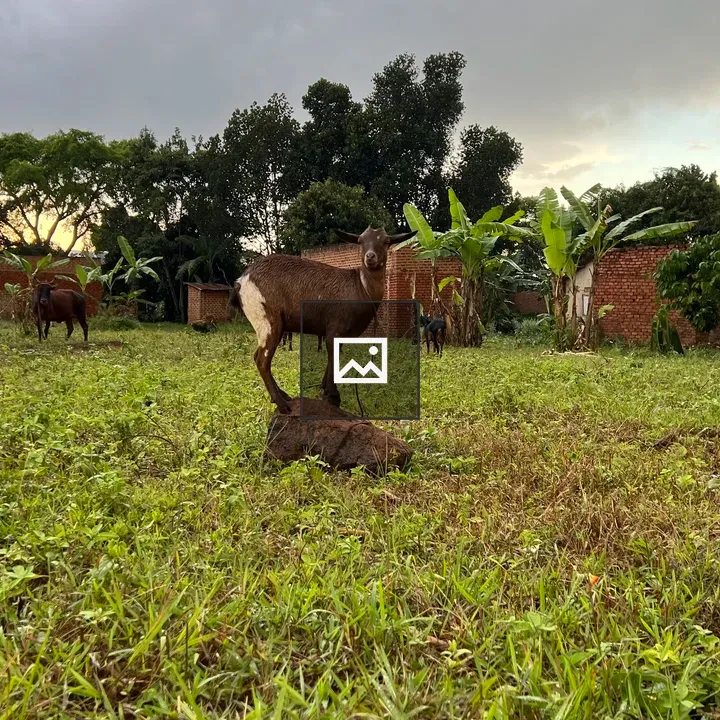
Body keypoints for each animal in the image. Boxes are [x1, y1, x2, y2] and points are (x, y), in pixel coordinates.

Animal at [230, 226, 416, 414]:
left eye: (386, 241)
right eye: (360, 241)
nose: (370, 257)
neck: (361, 287)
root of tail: (241, 281)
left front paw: (326, 392)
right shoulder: (335, 328)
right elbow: (333, 357)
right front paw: (333, 397)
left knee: (258, 356)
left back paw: (283, 396)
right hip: (267, 319)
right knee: (262, 359)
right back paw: (282, 404)